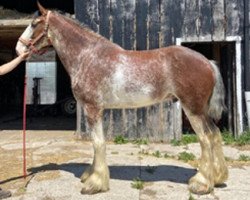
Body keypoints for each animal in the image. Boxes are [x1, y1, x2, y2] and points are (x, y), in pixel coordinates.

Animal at [16, 2, 229, 195]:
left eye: (34, 24)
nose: (19, 49)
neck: (88, 57)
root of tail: (207, 62)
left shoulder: (92, 108)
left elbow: (98, 142)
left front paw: (94, 184)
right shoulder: (96, 109)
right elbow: (97, 142)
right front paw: (91, 175)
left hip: (193, 110)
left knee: (205, 139)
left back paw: (201, 184)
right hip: (201, 111)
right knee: (215, 134)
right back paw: (218, 177)